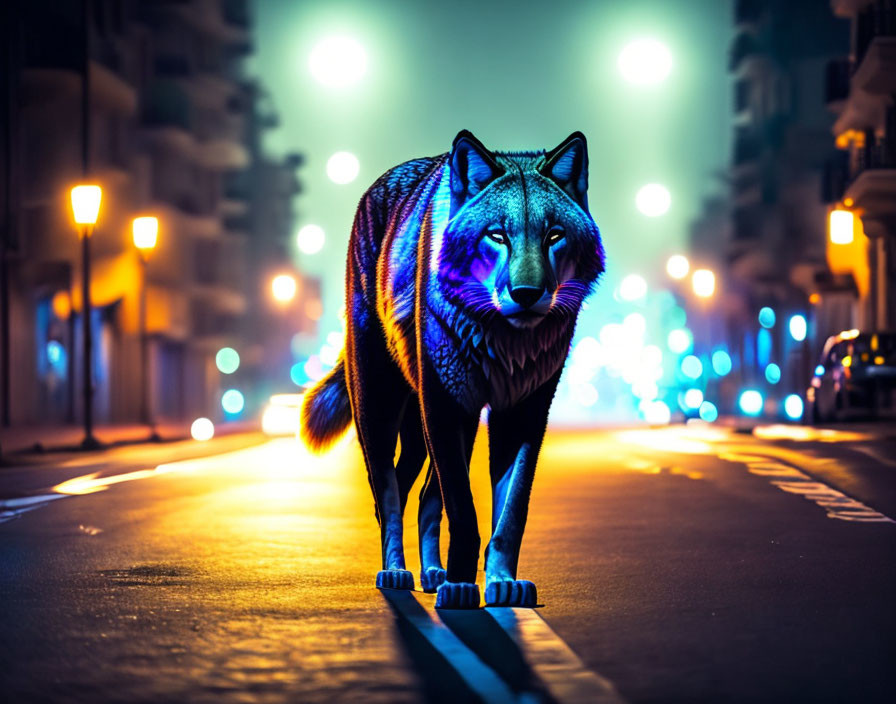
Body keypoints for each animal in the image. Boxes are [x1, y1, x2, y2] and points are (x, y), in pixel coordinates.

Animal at [300, 129, 600, 608]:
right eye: (498, 235)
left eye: (554, 235)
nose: (527, 293)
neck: (505, 342)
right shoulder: (445, 405)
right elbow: (463, 511)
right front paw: (461, 587)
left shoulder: (523, 413)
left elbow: (509, 514)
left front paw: (501, 584)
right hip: (383, 412)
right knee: (387, 494)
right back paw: (397, 572)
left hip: (434, 429)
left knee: (421, 494)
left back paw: (432, 574)